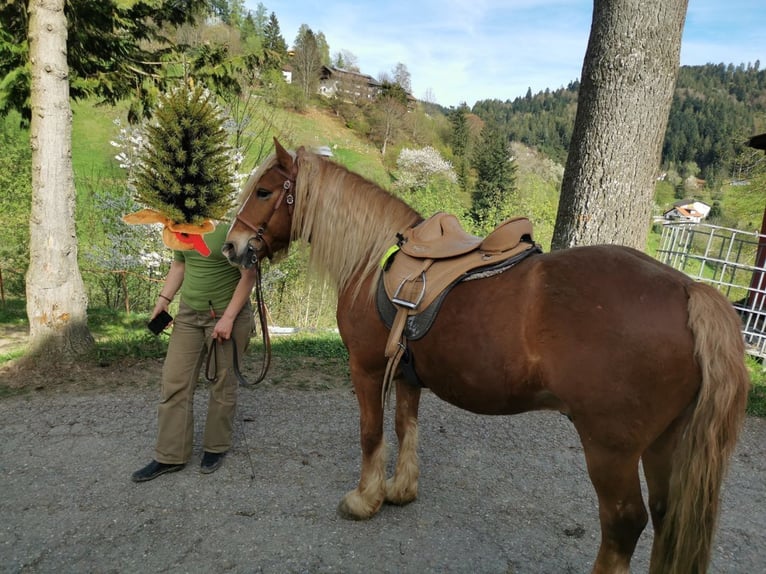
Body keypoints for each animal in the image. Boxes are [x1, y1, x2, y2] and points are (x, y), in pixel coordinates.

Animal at [222, 141, 752, 574]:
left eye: (265, 191)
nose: (232, 246)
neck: (374, 263)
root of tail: (689, 289)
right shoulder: (409, 375)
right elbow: (406, 428)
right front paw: (399, 491)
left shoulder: (367, 370)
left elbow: (372, 433)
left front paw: (363, 499)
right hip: (665, 443)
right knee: (665, 515)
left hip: (611, 449)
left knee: (624, 523)